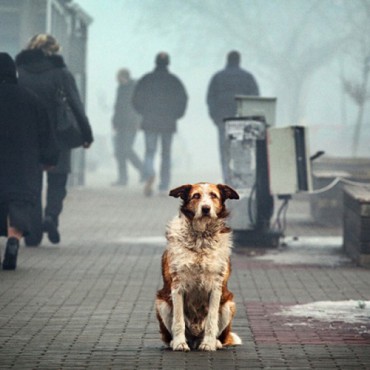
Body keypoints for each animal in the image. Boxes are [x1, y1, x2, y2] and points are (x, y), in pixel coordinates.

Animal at [155, 184, 240, 352]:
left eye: (213, 195)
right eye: (196, 196)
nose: (206, 208)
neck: (201, 238)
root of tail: (194, 339)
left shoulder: (216, 287)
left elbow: (212, 320)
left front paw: (208, 344)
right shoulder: (177, 286)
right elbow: (178, 320)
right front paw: (180, 343)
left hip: (229, 304)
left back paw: (214, 342)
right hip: (161, 303)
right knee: (170, 334)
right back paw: (176, 342)